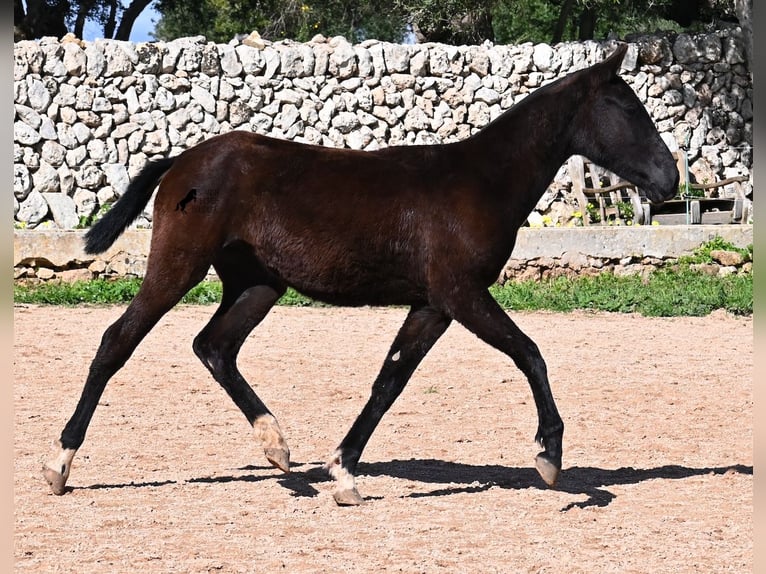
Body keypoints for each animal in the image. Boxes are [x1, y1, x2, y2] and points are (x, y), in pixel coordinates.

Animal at [42, 42, 680, 506]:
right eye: (628, 107)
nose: (669, 177)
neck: (479, 181)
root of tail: (181, 162)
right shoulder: (463, 293)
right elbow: (530, 354)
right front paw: (550, 458)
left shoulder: (433, 304)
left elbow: (389, 380)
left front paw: (343, 473)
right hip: (179, 267)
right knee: (117, 341)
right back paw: (58, 464)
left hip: (257, 284)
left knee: (214, 346)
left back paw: (279, 449)